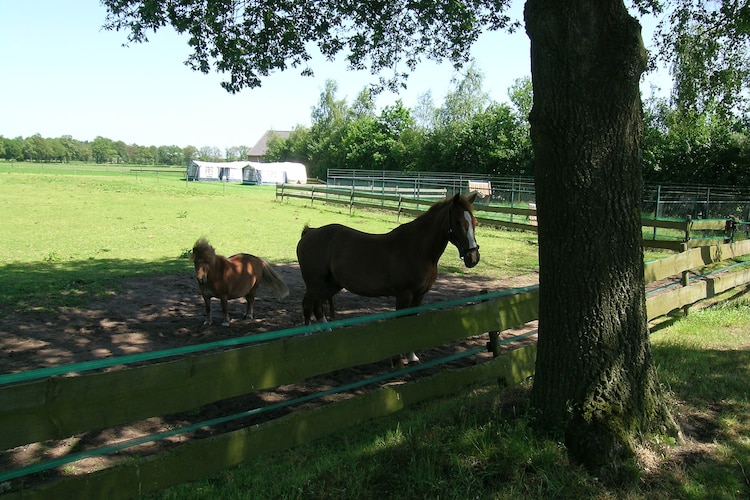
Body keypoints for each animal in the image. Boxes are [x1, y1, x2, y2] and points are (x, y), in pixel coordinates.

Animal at [296, 192, 482, 364]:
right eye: (458, 222)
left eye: (474, 222)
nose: (473, 258)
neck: (417, 249)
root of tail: (309, 232)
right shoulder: (404, 294)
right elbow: (401, 324)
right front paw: (399, 359)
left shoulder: (419, 295)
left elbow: (412, 322)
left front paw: (412, 356)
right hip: (314, 284)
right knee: (308, 304)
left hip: (332, 284)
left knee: (318, 305)